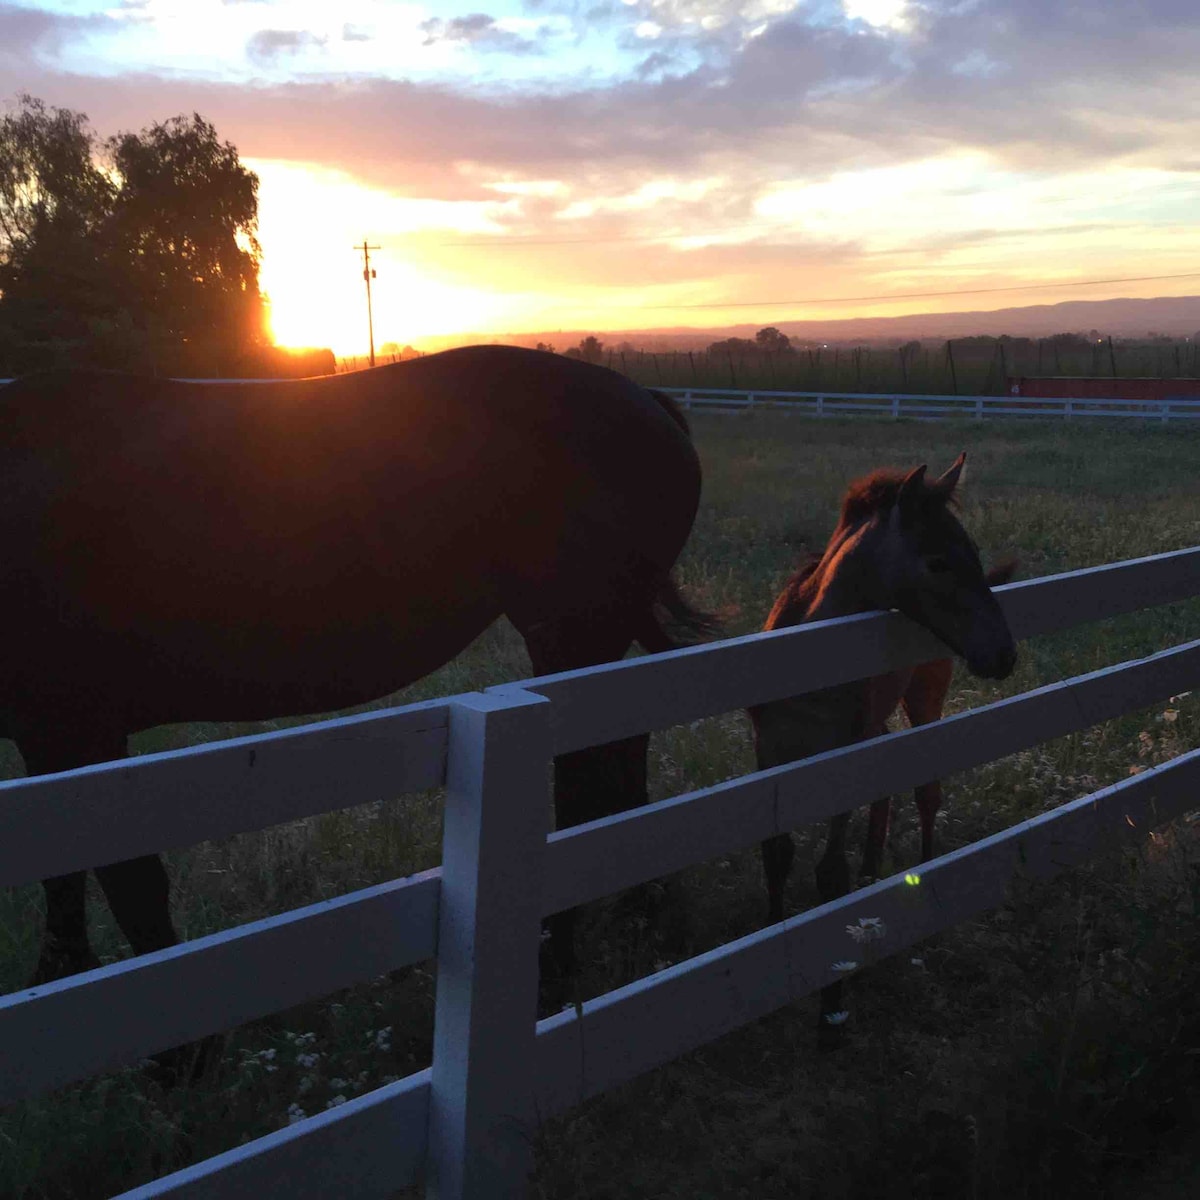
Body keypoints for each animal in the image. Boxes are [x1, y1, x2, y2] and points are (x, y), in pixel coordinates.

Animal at [0, 350, 705, 1003]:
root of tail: (644, 399)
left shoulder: (69, 728)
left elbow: (124, 881)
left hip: (575, 633)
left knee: (584, 785)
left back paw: (556, 969)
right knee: (622, 752)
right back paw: (639, 909)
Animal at [748, 453, 1012, 1036]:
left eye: (975, 553)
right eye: (937, 562)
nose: (1004, 654)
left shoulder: (844, 758)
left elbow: (830, 874)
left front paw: (832, 1006)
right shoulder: (770, 753)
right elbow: (776, 853)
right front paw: (773, 933)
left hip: (925, 697)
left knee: (926, 794)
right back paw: (873, 873)